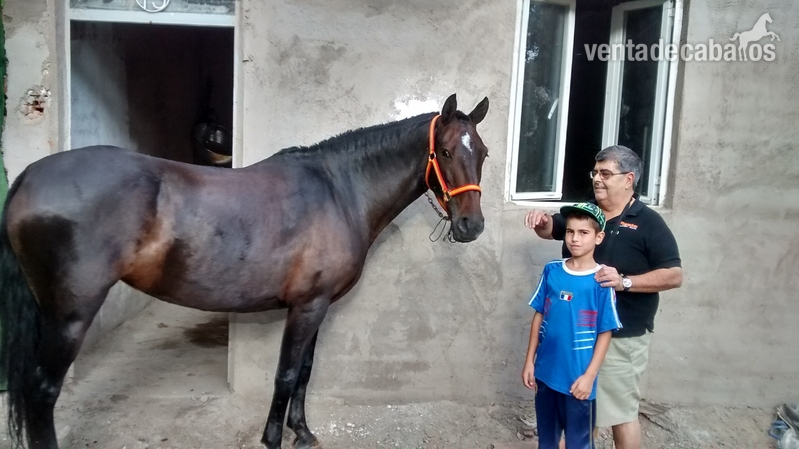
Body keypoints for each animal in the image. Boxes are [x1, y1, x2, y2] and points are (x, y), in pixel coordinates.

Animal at [0, 93, 489, 449]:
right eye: (445, 151)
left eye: (482, 152)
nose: (471, 226)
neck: (339, 190)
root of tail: (28, 177)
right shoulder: (307, 307)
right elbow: (286, 374)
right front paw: (273, 439)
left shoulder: (317, 306)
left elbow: (305, 372)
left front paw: (303, 433)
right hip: (69, 316)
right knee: (42, 391)